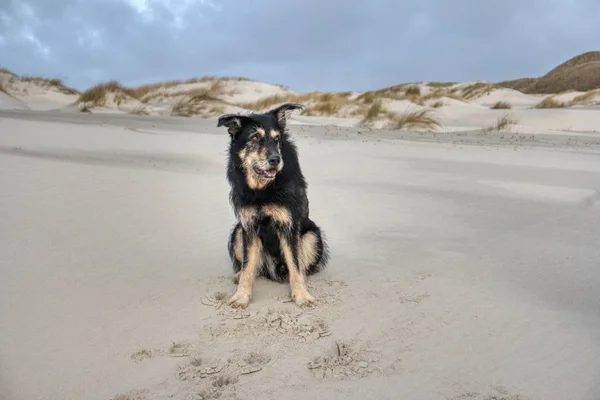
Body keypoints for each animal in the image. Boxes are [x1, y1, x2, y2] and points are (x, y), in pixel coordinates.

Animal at [216, 103, 328, 310]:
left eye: (277, 139)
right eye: (254, 137)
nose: (276, 160)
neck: (262, 189)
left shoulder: (288, 225)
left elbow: (295, 264)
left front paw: (301, 296)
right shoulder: (249, 227)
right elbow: (247, 265)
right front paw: (241, 297)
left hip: (312, 235)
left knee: (301, 266)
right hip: (237, 232)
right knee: (252, 267)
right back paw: (240, 275)